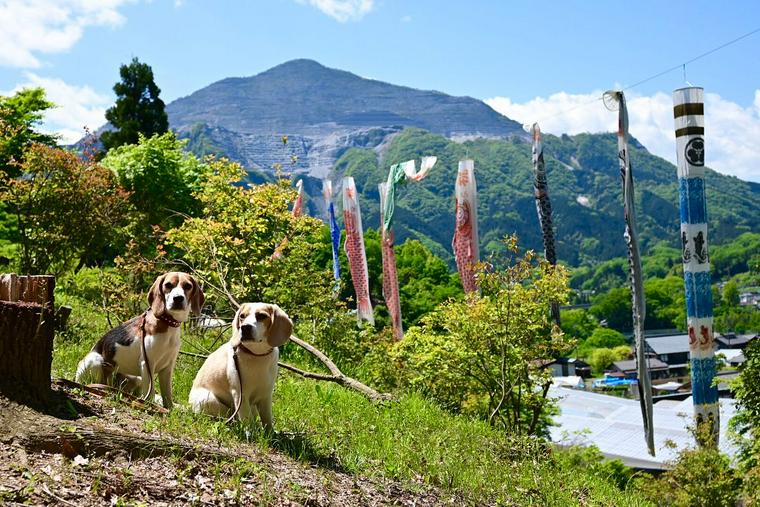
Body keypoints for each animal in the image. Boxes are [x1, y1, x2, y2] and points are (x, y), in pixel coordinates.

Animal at [75, 272, 203, 410]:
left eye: (188, 286)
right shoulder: (147, 364)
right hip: (96, 360)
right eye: (168, 285)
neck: (166, 323)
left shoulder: (168, 367)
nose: (178, 298)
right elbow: (150, 392)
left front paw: (169, 409)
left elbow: (167, 394)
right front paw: (150, 406)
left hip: (137, 379)